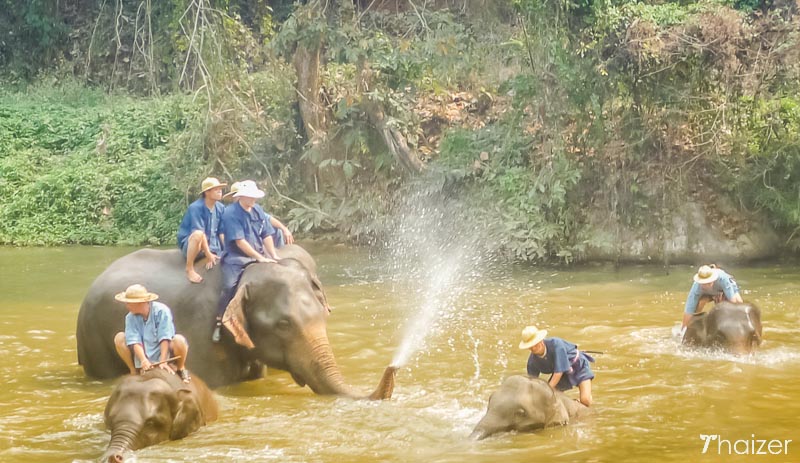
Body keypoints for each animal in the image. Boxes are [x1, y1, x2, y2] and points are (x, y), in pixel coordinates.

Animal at [76, 245, 396, 400]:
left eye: (324, 315)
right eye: (283, 324)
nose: (392, 367)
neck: (243, 276)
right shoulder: (202, 333)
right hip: (93, 339)